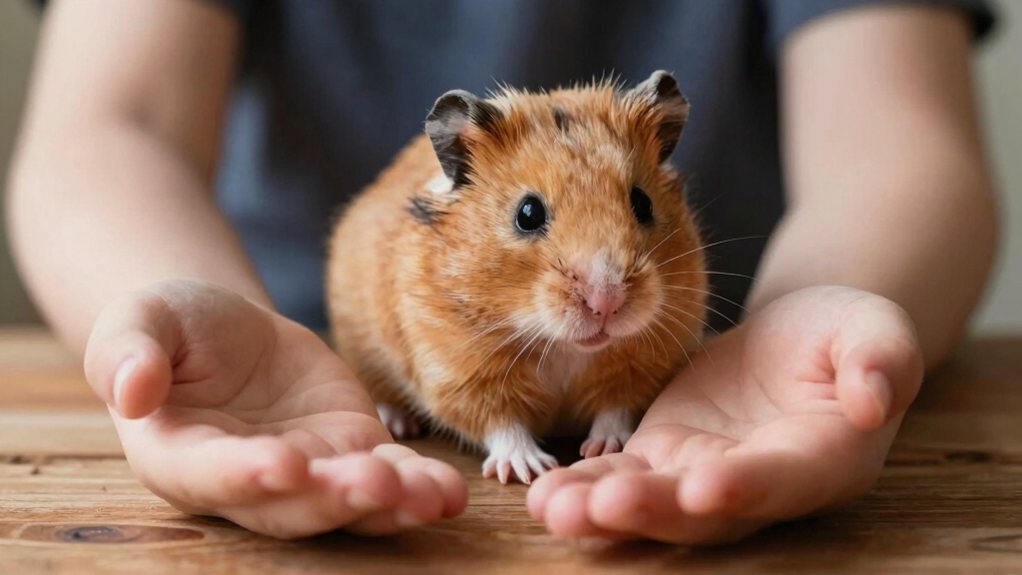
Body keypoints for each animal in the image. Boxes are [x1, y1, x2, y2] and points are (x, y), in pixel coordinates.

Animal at [327, 71, 707, 484]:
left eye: (642, 202)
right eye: (527, 213)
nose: (606, 302)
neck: (562, 345)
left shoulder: (642, 366)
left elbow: (615, 409)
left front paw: (606, 448)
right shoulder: (460, 371)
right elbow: (501, 422)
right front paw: (529, 469)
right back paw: (400, 424)